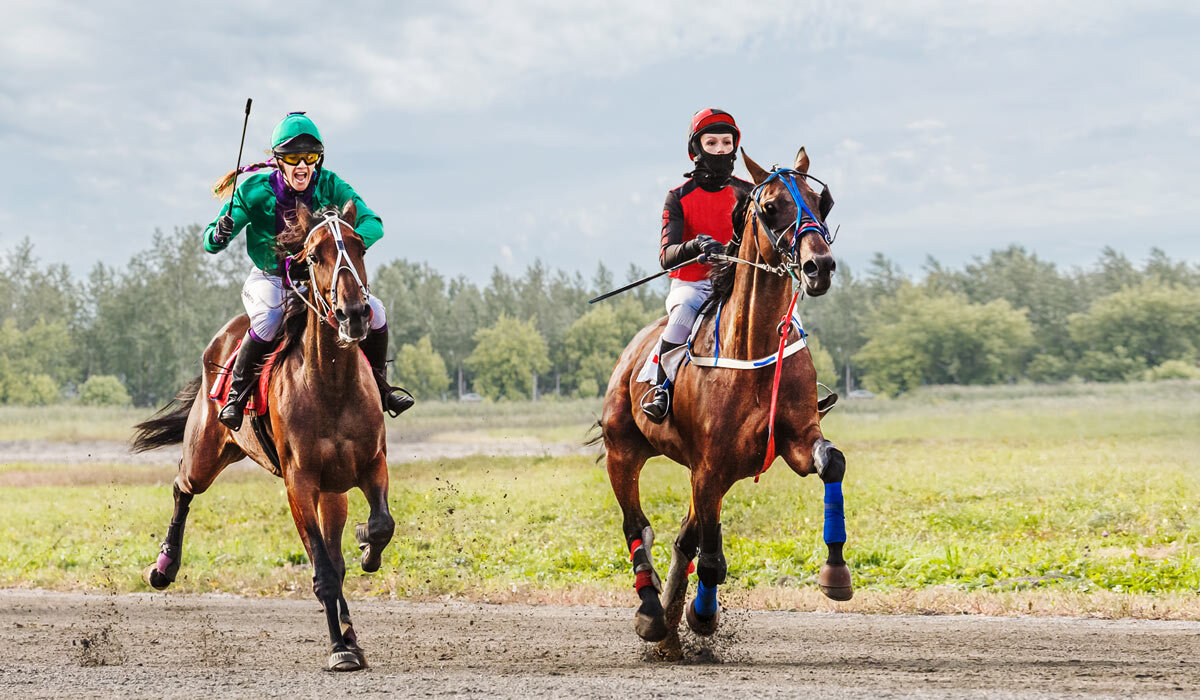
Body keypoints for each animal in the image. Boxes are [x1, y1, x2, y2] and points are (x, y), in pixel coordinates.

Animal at [132, 200, 393, 672]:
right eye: (314, 255)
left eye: (359, 245)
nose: (354, 314)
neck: (331, 385)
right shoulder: (299, 483)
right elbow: (323, 572)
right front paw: (339, 648)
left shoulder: (370, 465)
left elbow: (379, 528)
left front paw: (367, 547)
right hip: (205, 452)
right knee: (182, 486)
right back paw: (163, 566)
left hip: (333, 491)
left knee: (336, 554)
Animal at [597, 147, 844, 657]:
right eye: (769, 205)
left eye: (822, 202)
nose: (820, 267)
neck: (752, 347)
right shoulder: (709, 466)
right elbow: (710, 558)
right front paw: (701, 616)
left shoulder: (792, 442)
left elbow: (832, 462)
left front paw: (836, 574)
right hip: (624, 450)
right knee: (637, 526)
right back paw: (652, 614)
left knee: (683, 539)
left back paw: (669, 631)